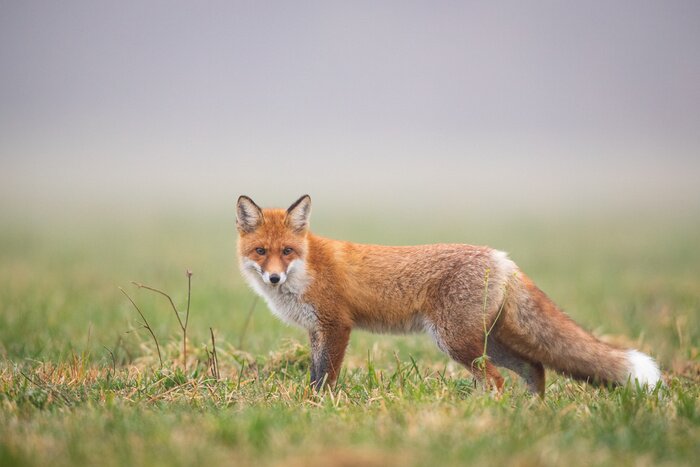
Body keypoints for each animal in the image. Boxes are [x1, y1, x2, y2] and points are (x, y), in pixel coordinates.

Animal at [236, 194, 661, 396]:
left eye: (286, 251)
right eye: (261, 251)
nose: (273, 277)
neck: (307, 267)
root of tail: (501, 257)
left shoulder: (337, 326)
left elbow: (326, 378)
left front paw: (320, 407)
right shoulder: (315, 331)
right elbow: (313, 374)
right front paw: (308, 404)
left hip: (455, 341)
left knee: (498, 380)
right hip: (483, 340)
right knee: (534, 368)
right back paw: (529, 413)